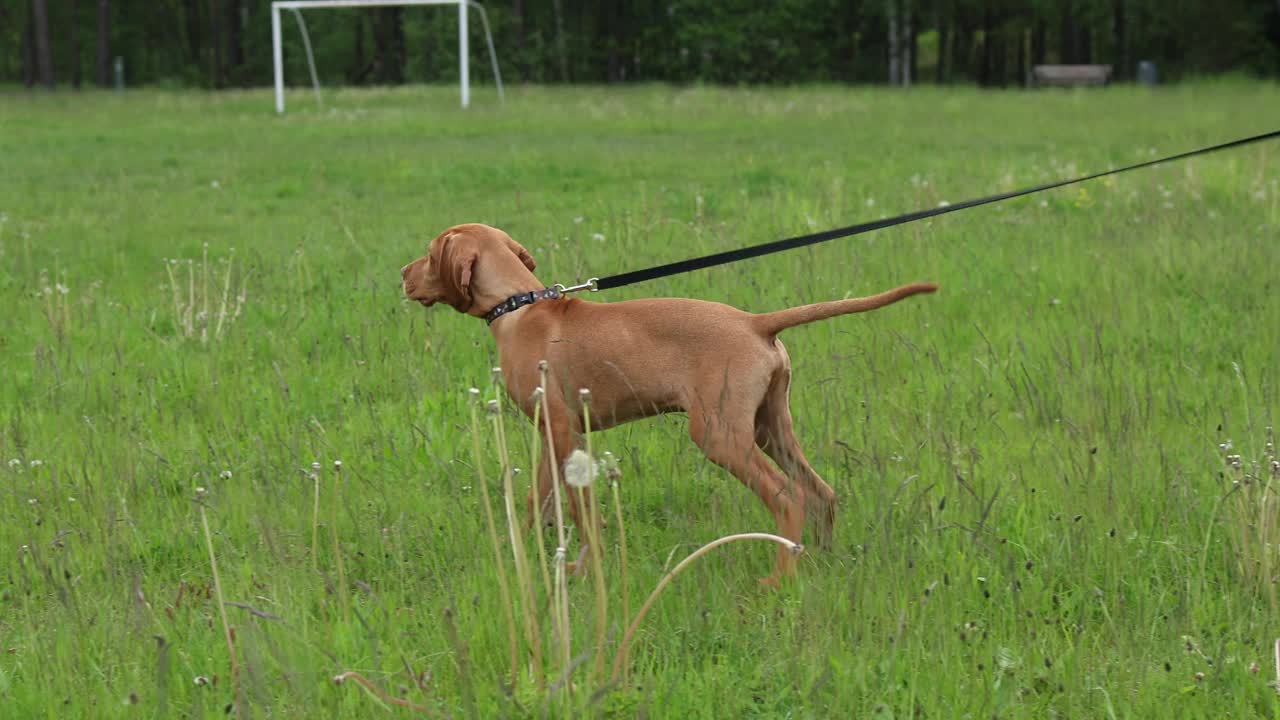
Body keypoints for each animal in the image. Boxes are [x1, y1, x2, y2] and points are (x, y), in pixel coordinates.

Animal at [404, 222, 936, 584]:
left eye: (429, 255)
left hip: (718, 434)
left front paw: (586, 567)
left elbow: (581, 510)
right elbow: (540, 499)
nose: (402, 274)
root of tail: (755, 323)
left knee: (789, 496)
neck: (519, 305)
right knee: (821, 491)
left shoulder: (562, 431)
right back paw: (818, 561)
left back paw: (779, 578)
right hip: (770, 427)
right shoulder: (553, 435)